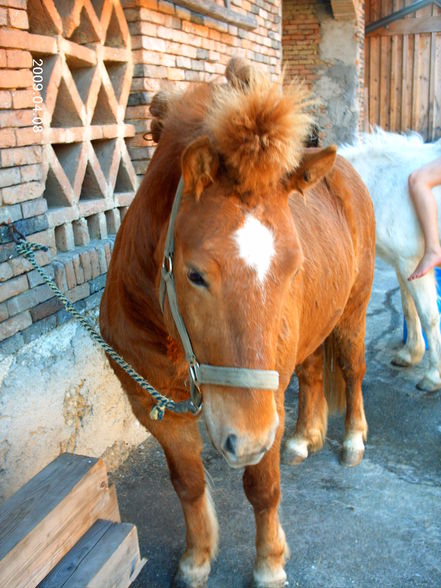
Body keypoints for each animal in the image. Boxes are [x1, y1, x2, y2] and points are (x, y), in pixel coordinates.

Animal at [99, 60, 374, 588]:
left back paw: (351, 440)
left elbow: (263, 489)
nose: (245, 440)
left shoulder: (266, 405)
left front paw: (268, 564)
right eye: (195, 274)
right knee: (313, 372)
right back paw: (303, 439)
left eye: (292, 266)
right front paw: (196, 559)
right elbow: (187, 483)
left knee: (351, 371)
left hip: (352, 314)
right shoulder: (152, 406)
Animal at [338, 131, 440, 392]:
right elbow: (408, 307)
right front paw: (410, 354)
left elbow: (429, 316)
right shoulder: (403, 266)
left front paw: (433, 376)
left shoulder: (412, 262)